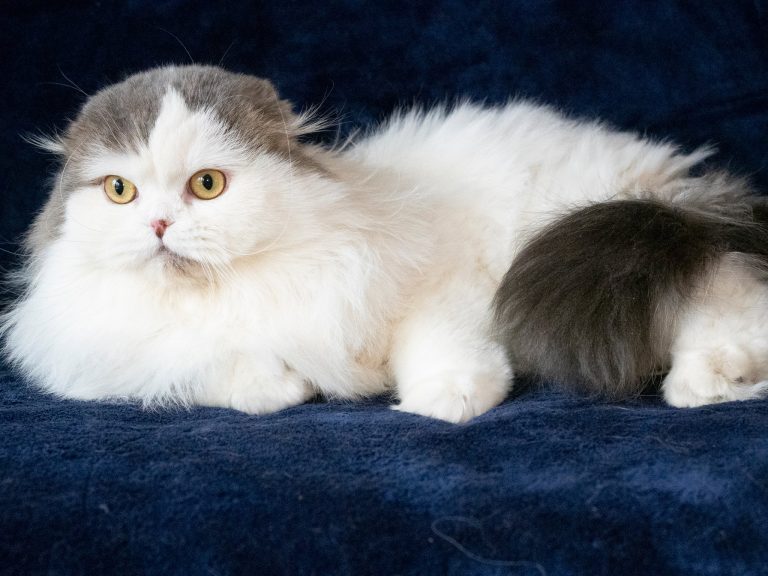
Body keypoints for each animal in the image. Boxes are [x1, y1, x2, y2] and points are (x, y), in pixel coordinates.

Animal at [4, 64, 768, 424]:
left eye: (207, 184)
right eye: (120, 192)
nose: (160, 226)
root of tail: (675, 181)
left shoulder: (446, 288)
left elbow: (438, 350)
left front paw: (444, 400)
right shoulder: (127, 360)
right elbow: (226, 375)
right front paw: (281, 386)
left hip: (602, 250)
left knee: (731, 308)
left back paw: (707, 385)